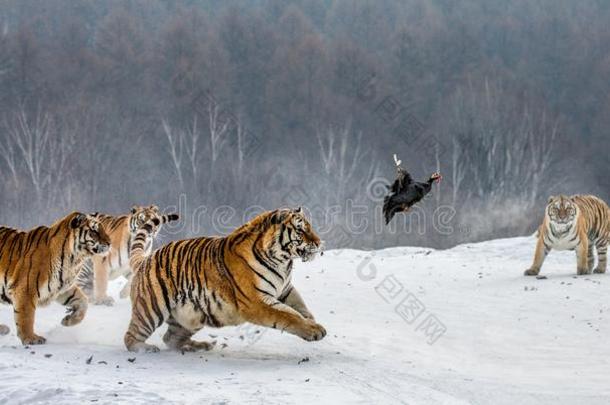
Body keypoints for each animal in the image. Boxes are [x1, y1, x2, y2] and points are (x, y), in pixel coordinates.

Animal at [0, 211, 109, 344]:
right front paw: (30, 338)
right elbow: (26, 316)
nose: (110, 243)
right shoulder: (25, 289)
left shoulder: (61, 286)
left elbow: (83, 301)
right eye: (94, 231)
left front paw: (68, 320)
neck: (74, 260)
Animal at [122, 207, 324, 352]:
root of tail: (146, 258)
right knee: (131, 336)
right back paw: (146, 348)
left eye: (310, 227)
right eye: (300, 229)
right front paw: (314, 330)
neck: (283, 261)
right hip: (150, 309)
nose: (319, 242)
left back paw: (198, 346)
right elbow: (288, 314)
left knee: (170, 338)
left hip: (191, 316)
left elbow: (299, 307)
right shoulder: (256, 301)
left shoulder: (286, 289)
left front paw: (311, 321)